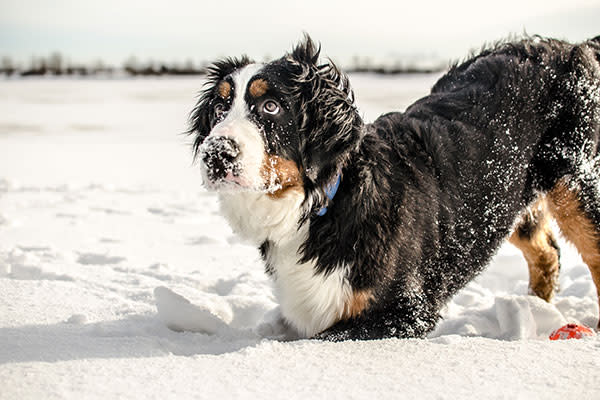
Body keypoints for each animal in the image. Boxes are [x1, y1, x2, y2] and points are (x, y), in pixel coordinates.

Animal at [190, 35, 600, 340]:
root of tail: (570, 46)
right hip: (503, 202)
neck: (326, 204)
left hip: (576, 184)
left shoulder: (403, 312)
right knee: (546, 252)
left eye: (271, 106)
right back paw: (536, 311)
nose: (216, 153)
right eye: (220, 109)